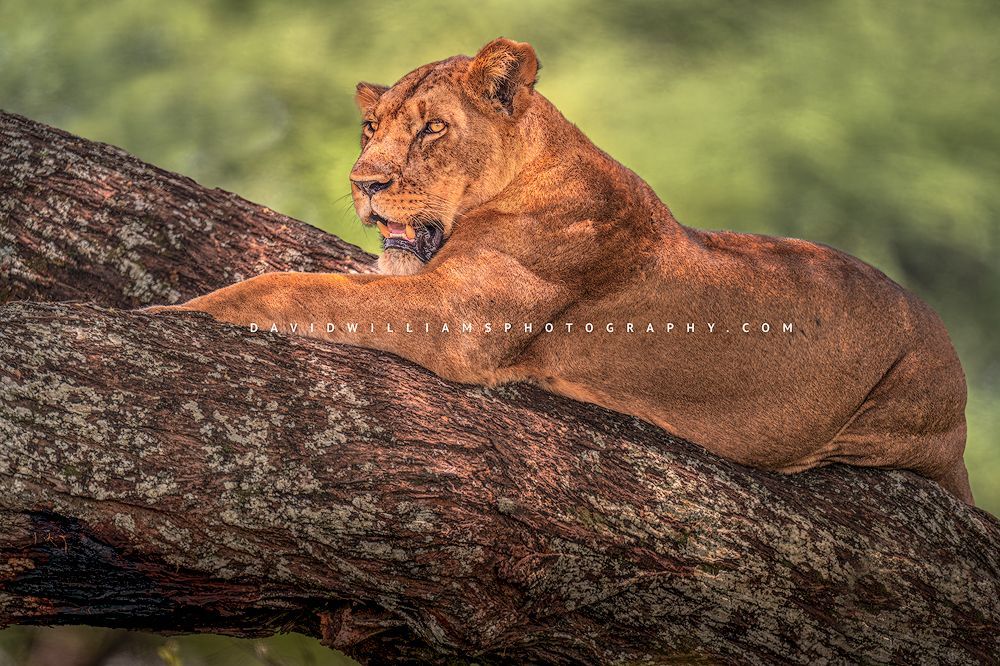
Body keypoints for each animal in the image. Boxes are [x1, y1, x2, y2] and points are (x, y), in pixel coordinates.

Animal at [148, 37, 973, 504]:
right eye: (370, 128)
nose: (364, 183)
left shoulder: (456, 321)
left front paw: (172, 314)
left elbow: (288, 285)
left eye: (432, 129)